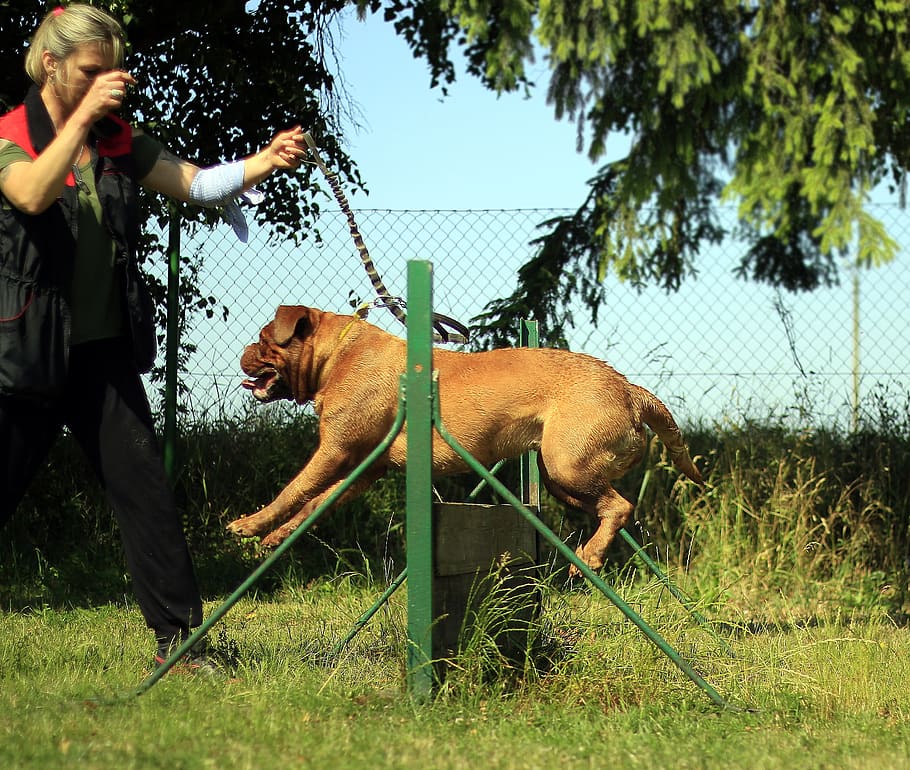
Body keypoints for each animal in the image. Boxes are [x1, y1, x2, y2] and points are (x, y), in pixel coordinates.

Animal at [228, 304, 704, 568]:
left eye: (263, 340)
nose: (241, 353)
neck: (337, 356)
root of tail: (629, 388)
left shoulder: (335, 450)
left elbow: (293, 490)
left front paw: (250, 523)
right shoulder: (362, 467)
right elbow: (313, 504)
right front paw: (275, 537)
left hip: (567, 465)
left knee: (620, 506)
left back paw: (589, 555)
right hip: (560, 477)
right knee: (610, 507)